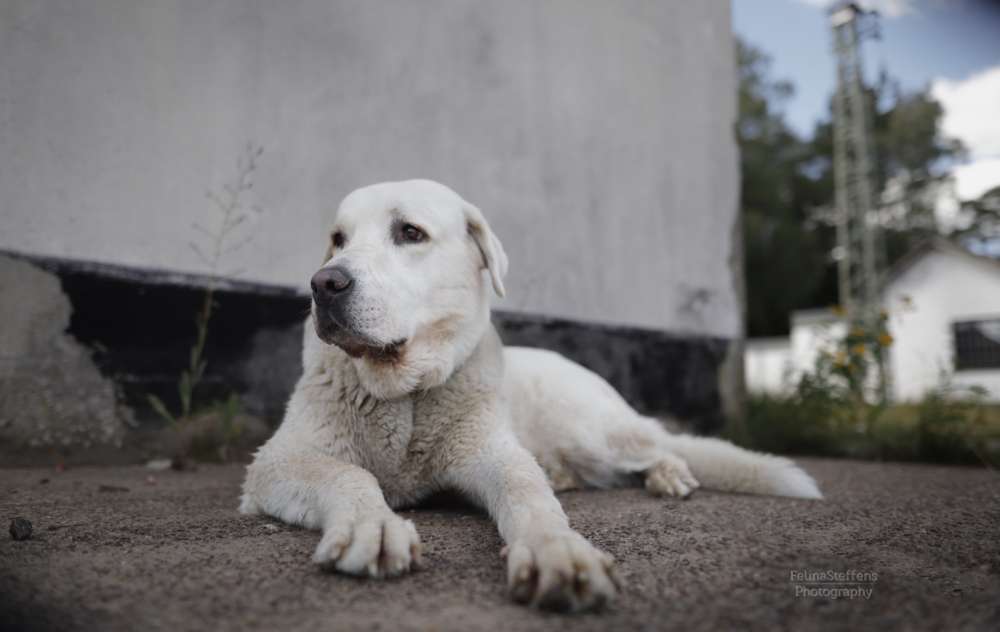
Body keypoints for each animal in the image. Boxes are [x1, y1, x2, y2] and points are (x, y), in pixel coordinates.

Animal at [242, 179, 820, 612]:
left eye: (409, 232)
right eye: (339, 239)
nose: (325, 284)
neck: (405, 393)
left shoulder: (495, 454)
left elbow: (527, 494)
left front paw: (557, 551)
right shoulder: (278, 460)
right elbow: (350, 474)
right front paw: (374, 523)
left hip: (592, 430)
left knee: (661, 445)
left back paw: (669, 475)